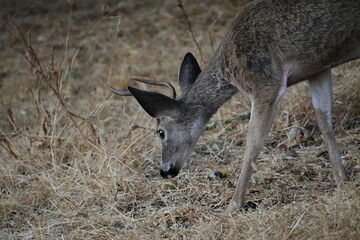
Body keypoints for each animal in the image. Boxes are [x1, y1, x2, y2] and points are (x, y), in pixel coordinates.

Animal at [107, 0, 360, 214]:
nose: (165, 171)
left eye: (160, 132)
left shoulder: (265, 83)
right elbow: (324, 119)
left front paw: (233, 206)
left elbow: (252, 144)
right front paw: (342, 181)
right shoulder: (318, 67)